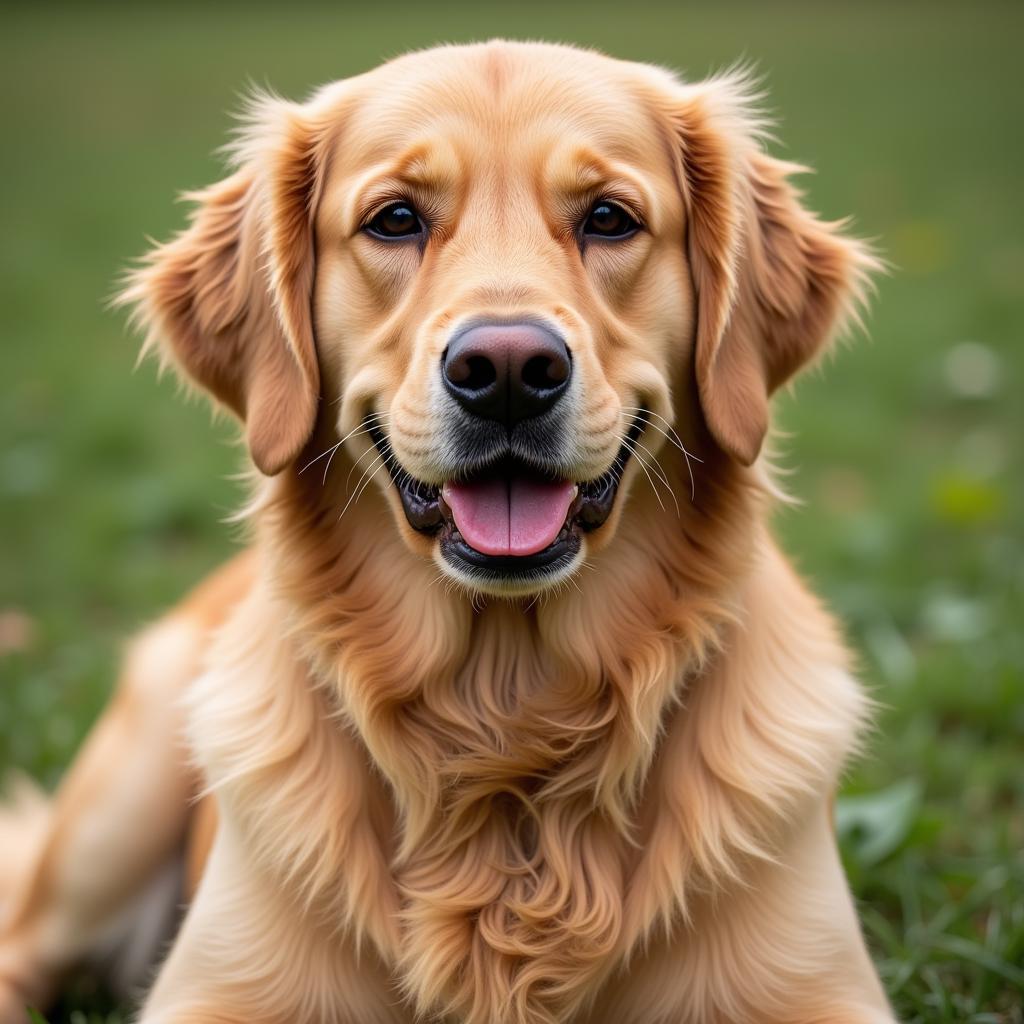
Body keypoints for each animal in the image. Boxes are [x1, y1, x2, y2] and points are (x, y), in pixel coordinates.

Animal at [0, 39, 897, 1024]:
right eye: (394, 220)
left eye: (610, 218)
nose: (506, 369)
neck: (505, 712)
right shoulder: (213, 993)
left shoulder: (818, 990)